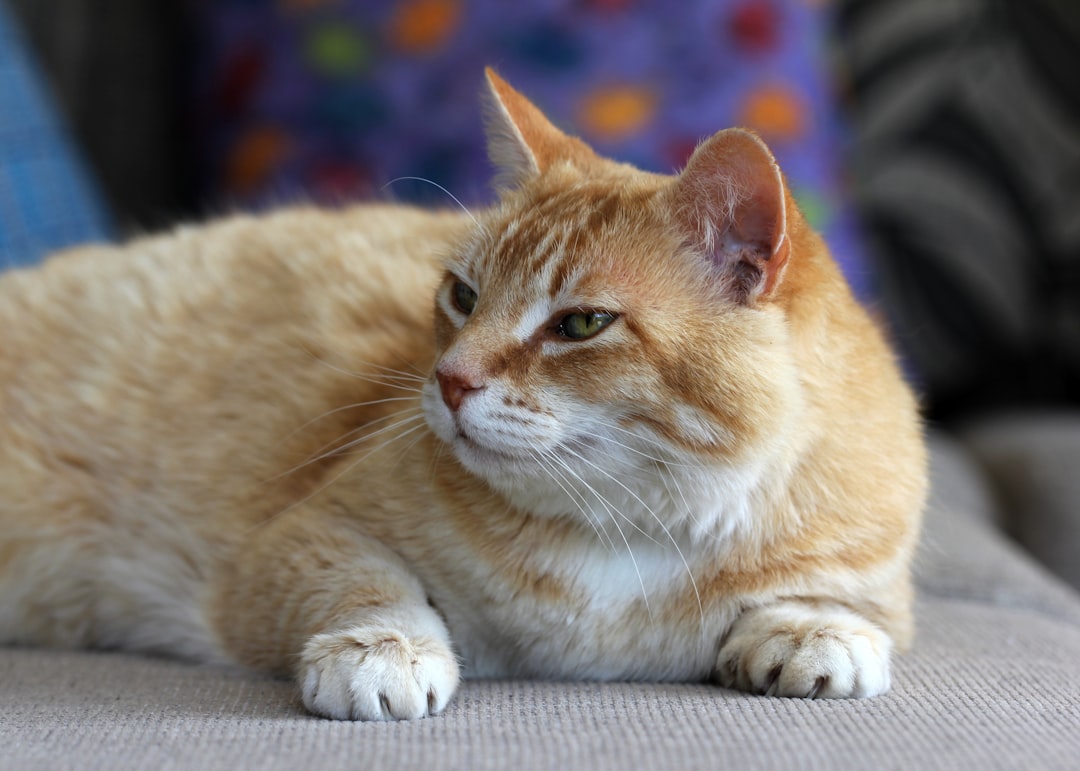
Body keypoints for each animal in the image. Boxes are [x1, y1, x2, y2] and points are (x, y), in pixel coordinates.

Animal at [2, 69, 928, 717]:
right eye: (464, 295)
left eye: (581, 322)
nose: (449, 380)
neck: (627, 530)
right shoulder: (298, 536)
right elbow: (371, 583)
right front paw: (385, 648)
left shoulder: (865, 571)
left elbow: (838, 606)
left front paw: (813, 631)